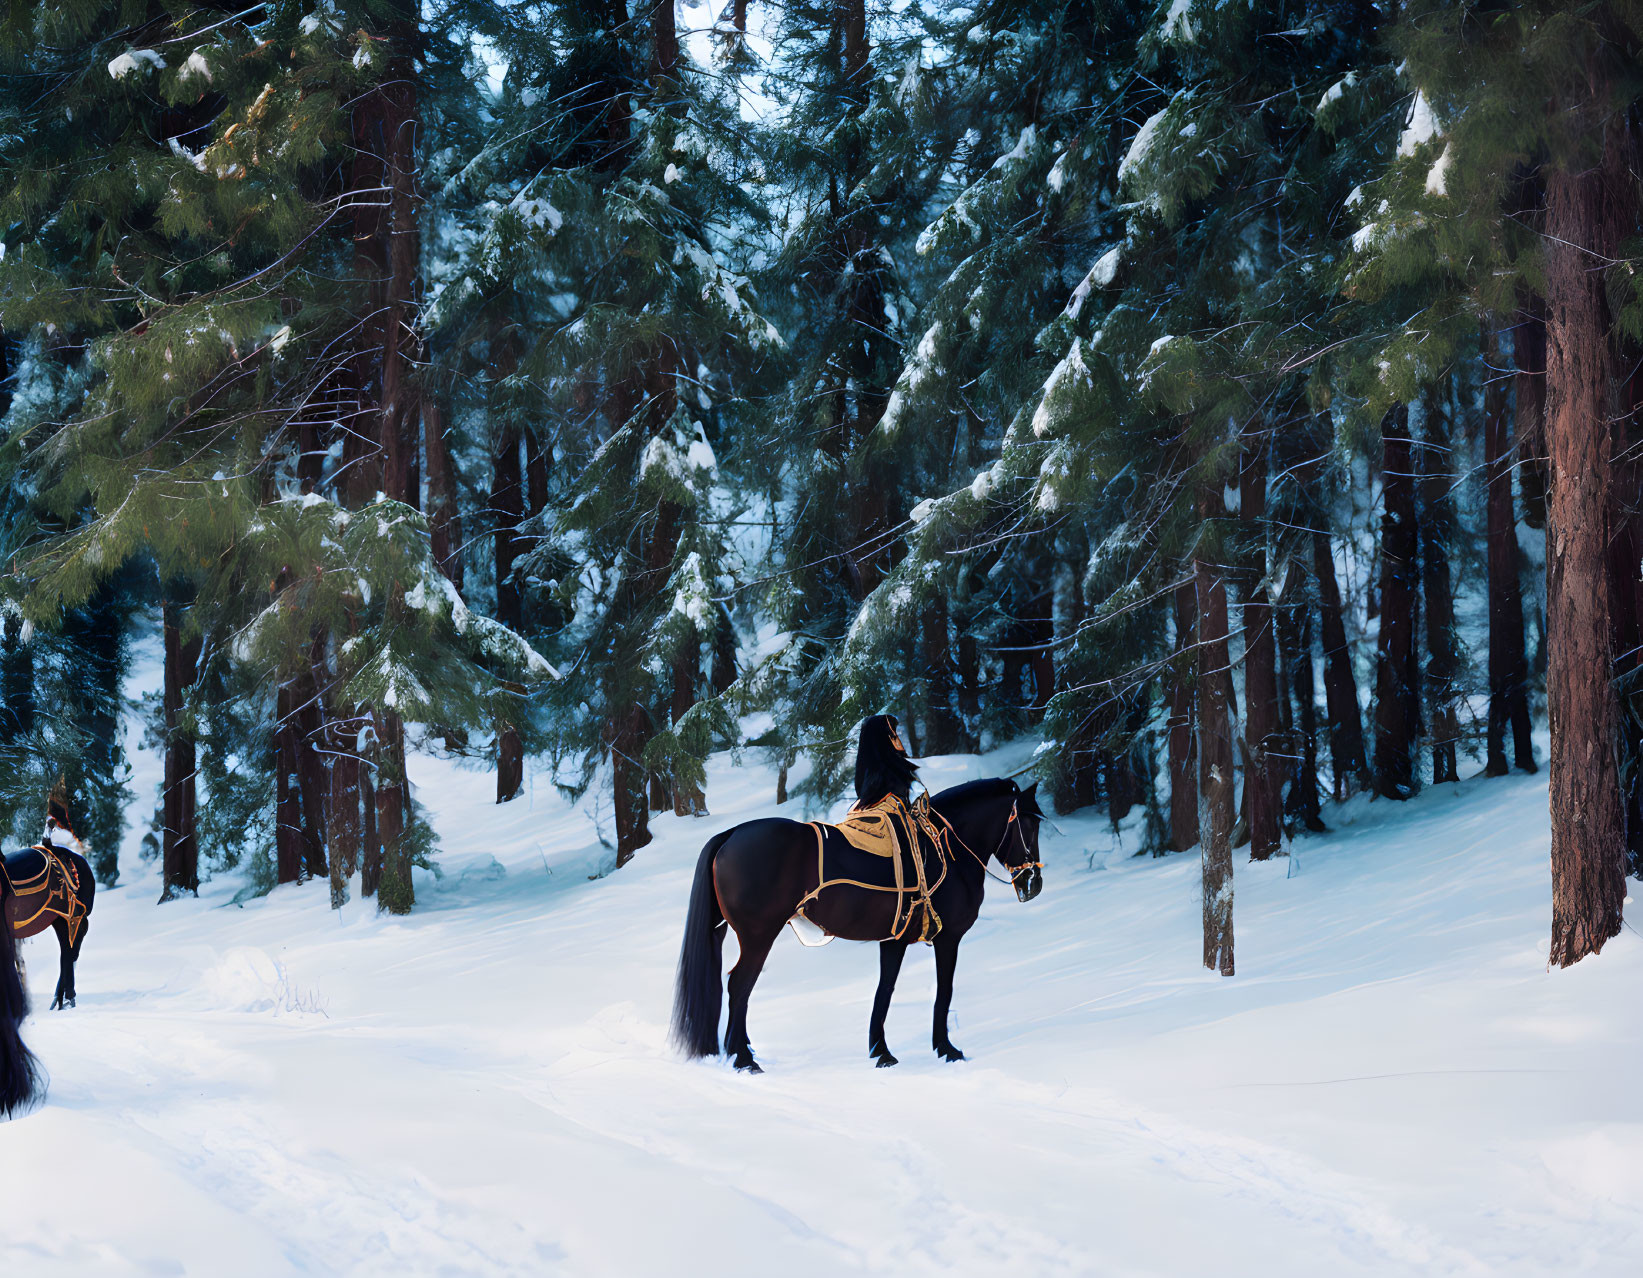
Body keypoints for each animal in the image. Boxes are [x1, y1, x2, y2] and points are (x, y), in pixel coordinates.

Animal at [673, 775, 1044, 1064]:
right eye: (1029, 824)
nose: (1033, 882)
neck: (948, 853)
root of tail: (731, 834)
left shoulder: (894, 940)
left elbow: (885, 990)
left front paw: (881, 1050)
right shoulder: (948, 938)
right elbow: (944, 989)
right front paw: (946, 1048)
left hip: (725, 933)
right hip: (758, 937)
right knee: (739, 986)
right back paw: (743, 1058)